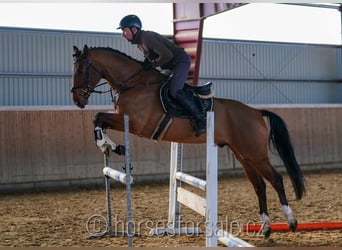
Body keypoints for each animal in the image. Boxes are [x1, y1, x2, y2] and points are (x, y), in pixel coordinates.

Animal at [71, 45, 306, 238]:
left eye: (81, 70)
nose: (77, 100)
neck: (134, 83)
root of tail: (256, 112)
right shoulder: (123, 119)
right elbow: (98, 119)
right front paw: (110, 146)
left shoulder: (137, 124)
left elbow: (98, 117)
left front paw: (109, 144)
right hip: (243, 155)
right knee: (259, 186)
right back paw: (266, 228)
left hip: (255, 154)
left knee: (276, 180)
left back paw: (291, 222)